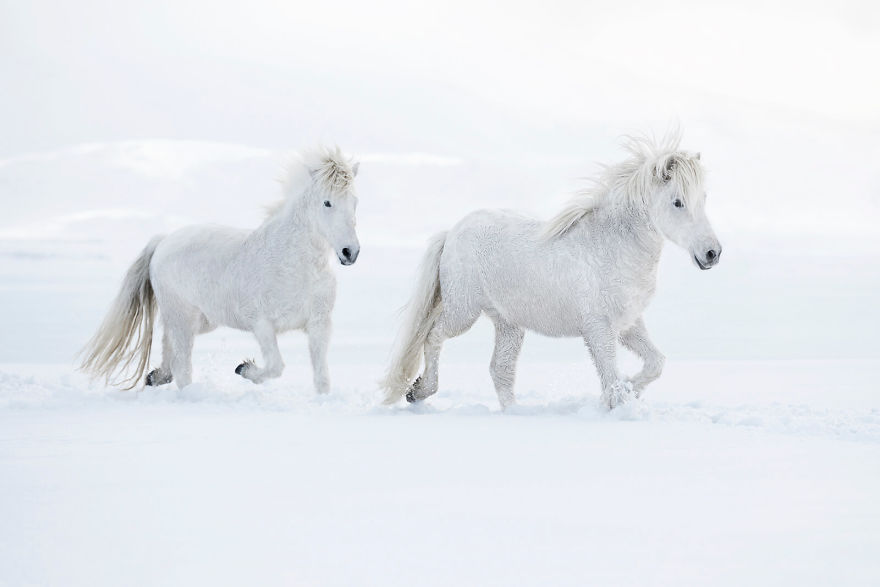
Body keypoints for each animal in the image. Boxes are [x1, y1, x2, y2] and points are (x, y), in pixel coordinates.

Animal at [80, 147, 360, 392]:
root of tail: (164, 241)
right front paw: (244, 368)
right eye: (327, 202)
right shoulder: (262, 324)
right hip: (182, 318)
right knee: (182, 368)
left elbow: (322, 379)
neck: (295, 265)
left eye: (355, 202)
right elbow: (276, 366)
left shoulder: (319, 325)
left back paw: (154, 377)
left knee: (170, 356)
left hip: (199, 321)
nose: (350, 252)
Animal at [384, 132, 720, 408]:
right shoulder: (598, 329)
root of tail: (452, 231)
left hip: (508, 323)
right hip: (463, 311)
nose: (712, 253)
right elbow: (612, 379)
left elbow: (655, 363)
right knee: (434, 337)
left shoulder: (628, 325)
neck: (611, 247)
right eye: (677, 202)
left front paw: (631, 390)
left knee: (500, 371)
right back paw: (418, 391)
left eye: (704, 198)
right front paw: (619, 401)